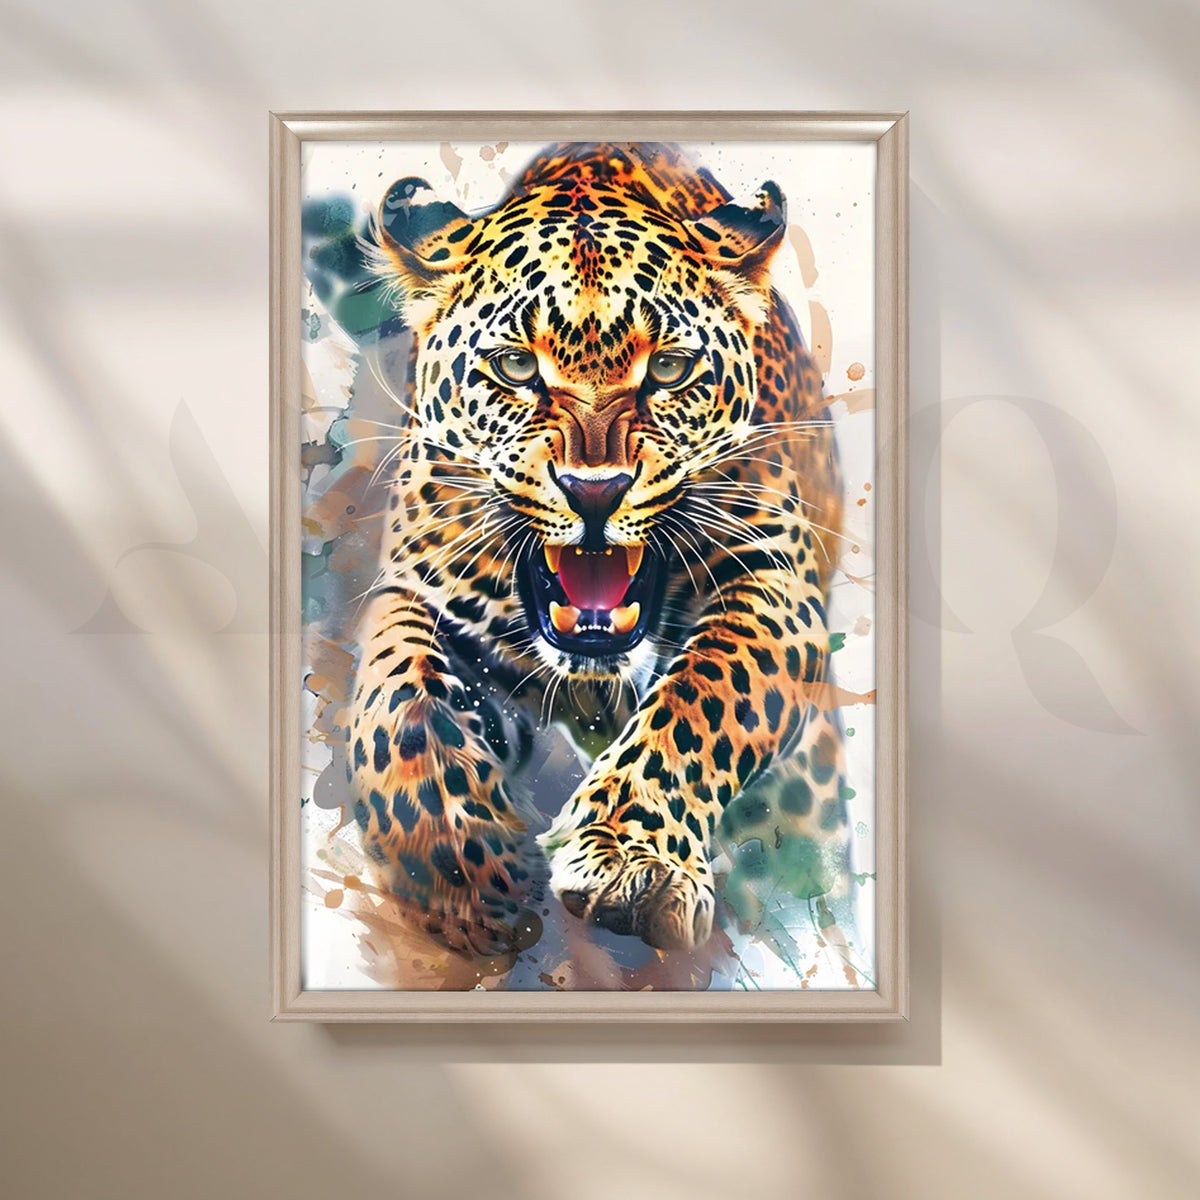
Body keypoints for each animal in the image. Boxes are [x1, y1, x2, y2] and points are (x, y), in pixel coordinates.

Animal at [339, 142, 851, 962]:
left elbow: (704, 693)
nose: (594, 491)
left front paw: (630, 861)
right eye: (517, 368)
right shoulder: (418, 586)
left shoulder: (776, 584)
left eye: (668, 369)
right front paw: (461, 871)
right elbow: (398, 700)